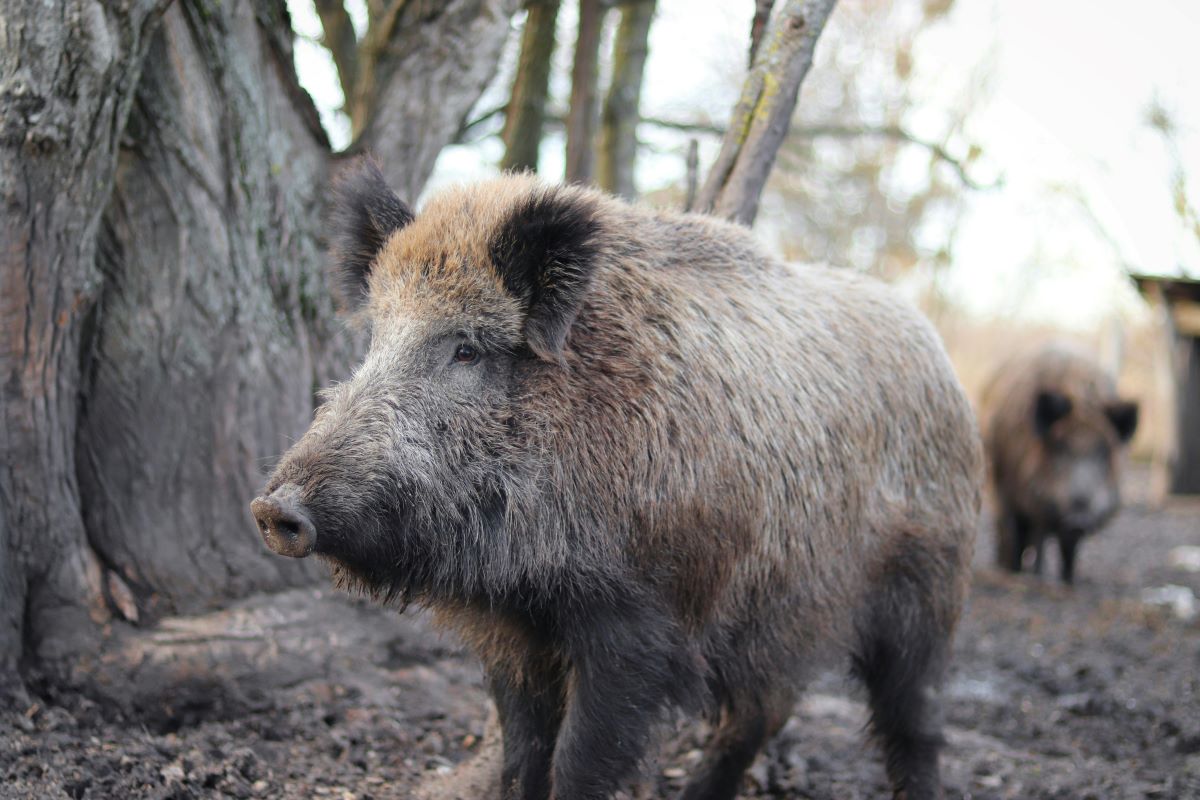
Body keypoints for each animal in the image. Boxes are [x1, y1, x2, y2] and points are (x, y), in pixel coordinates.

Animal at [250, 159, 983, 800]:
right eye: (375, 339)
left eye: (466, 348)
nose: (273, 508)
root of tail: (942, 359)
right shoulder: (512, 630)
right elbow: (523, 755)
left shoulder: (640, 621)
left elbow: (581, 760)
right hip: (784, 610)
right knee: (762, 711)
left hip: (929, 589)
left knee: (914, 723)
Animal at [981, 345, 1139, 584]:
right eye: (1060, 447)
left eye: (1103, 452)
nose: (1078, 519)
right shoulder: (1010, 490)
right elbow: (1019, 534)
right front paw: (1022, 574)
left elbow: (1067, 549)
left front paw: (1068, 581)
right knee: (1010, 532)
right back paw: (1010, 568)